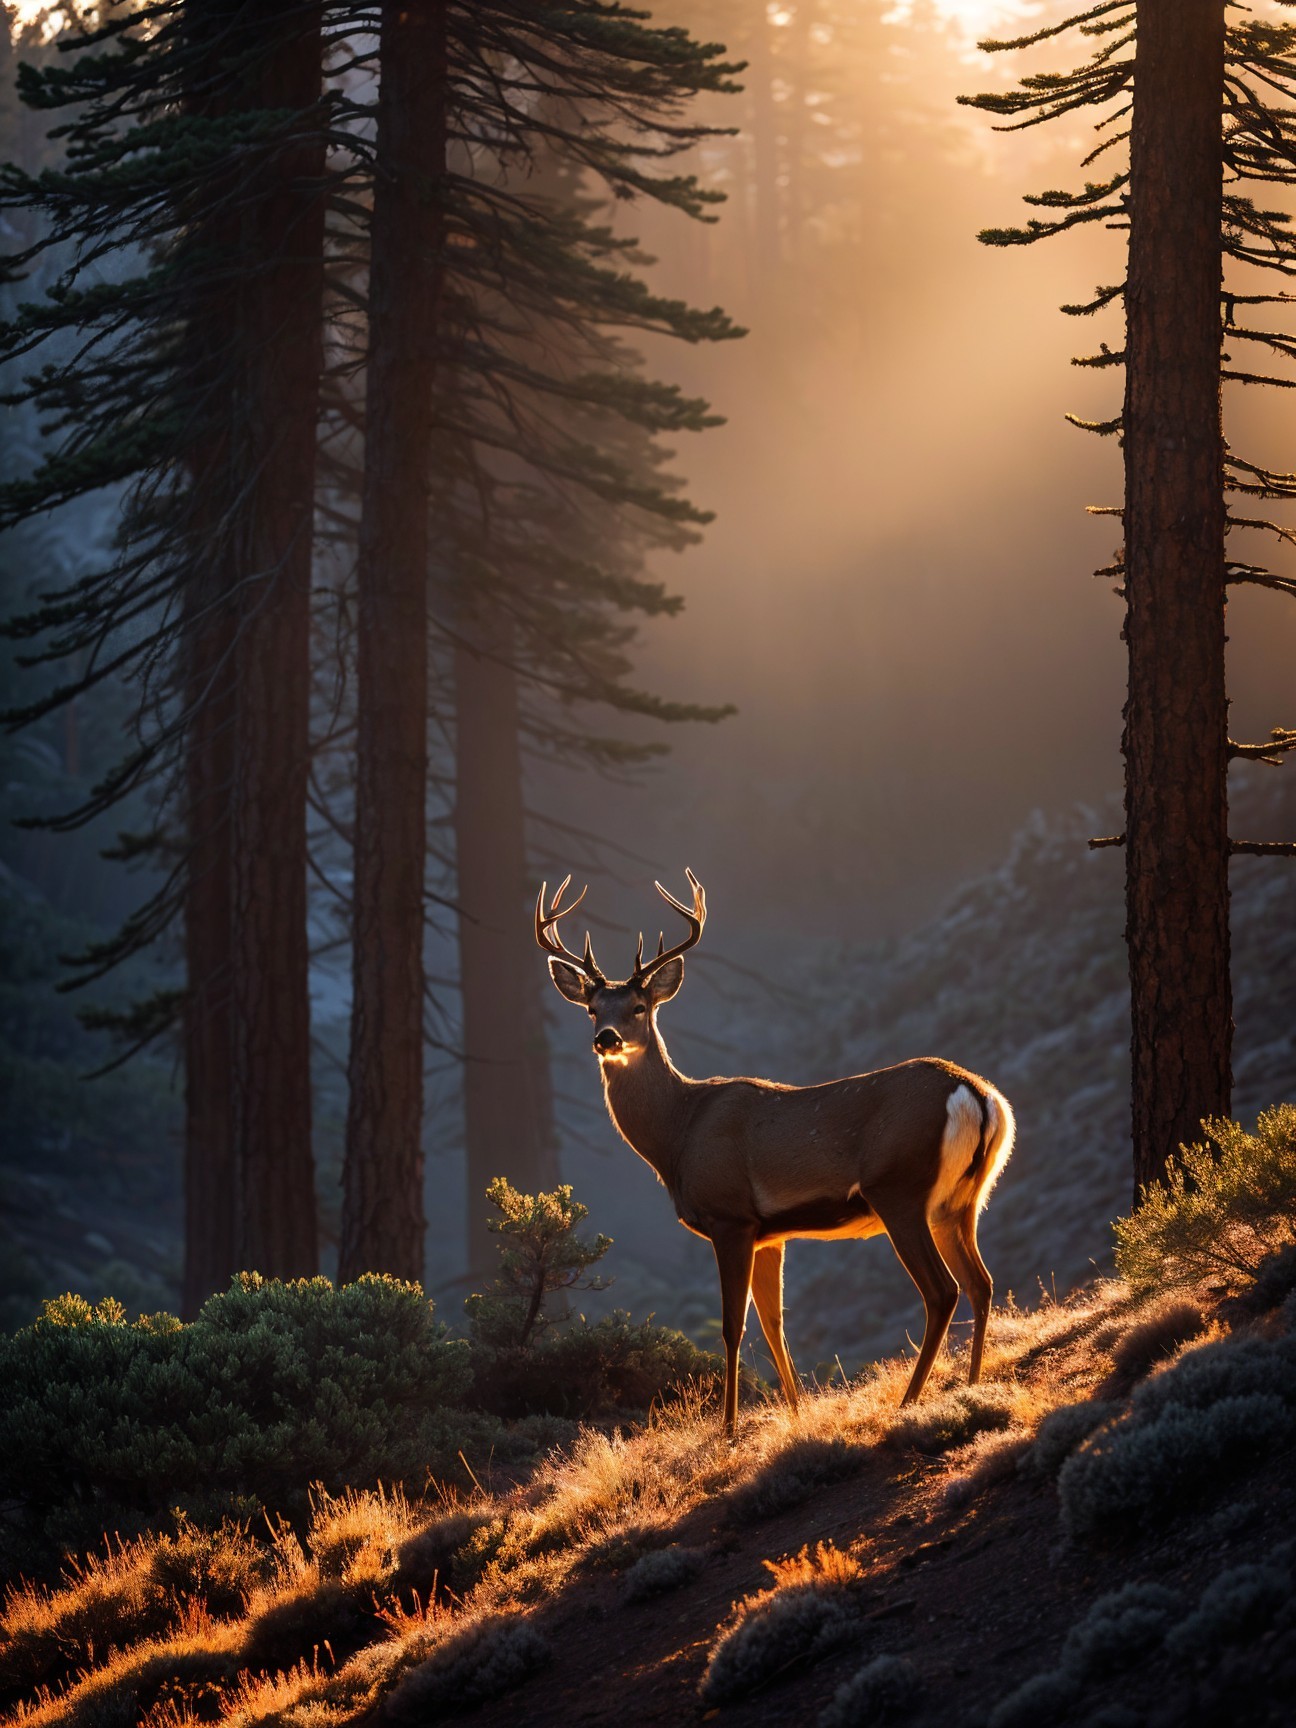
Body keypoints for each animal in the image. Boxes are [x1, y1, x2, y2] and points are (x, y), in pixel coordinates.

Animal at [536, 870, 1015, 1434]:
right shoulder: (771, 1234)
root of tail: (977, 1095)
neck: (679, 1134)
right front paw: (795, 1412)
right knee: (981, 1283)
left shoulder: (731, 1217)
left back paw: (910, 1401)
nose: (606, 1039)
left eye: (639, 1007)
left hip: (899, 1189)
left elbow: (732, 1327)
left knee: (942, 1291)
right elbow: (774, 1325)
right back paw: (972, 1385)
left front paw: (727, 1429)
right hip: (962, 1200)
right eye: (592, 1009)